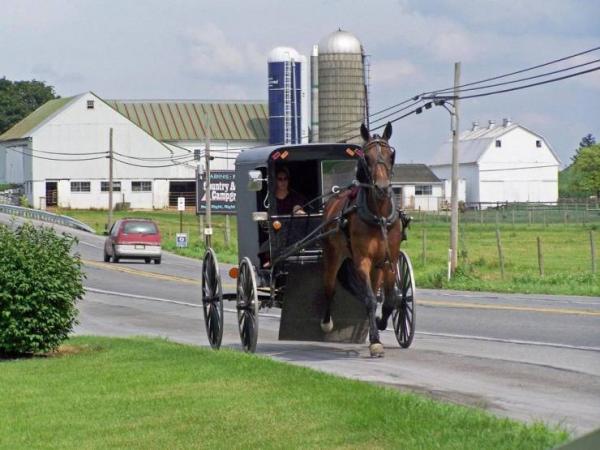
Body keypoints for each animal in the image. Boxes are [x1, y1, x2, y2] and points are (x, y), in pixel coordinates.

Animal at [322, 121, 400, 356]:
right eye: (366, 157)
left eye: (390, 154)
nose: (382, 188)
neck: (379, 216)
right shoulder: (362, 260)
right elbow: (370, 299)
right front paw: (375, 341)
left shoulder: (389, 260)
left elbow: (390, 300)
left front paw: (381, 323)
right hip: (333, 255)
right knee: (329, 287)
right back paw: (326, 322)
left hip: (376, 266)